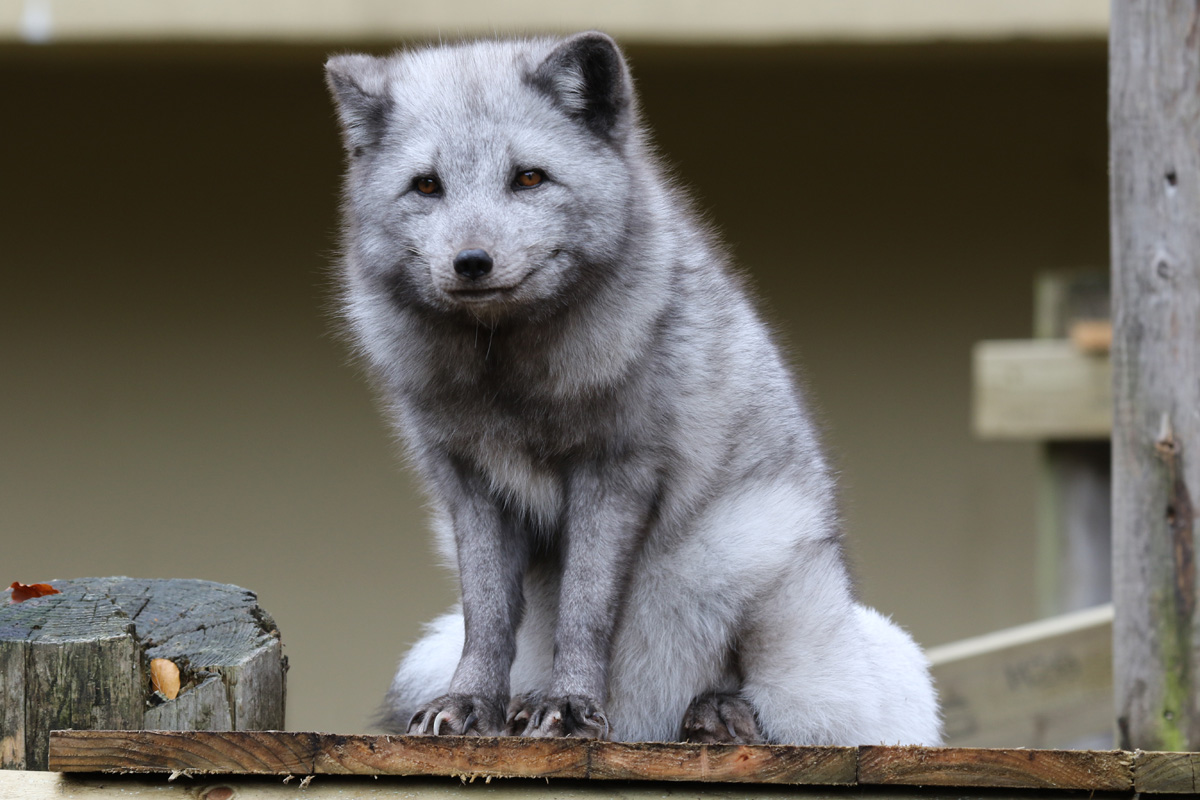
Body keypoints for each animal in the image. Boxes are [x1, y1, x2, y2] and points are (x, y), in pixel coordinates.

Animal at [324, 32, 941, 746]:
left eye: (529, 177)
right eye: (426, 186)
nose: (471, 263)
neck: (507, 383)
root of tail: (645, 718)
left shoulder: (617, 469)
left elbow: (585, 608)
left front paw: (568, 705)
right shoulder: (472, 483)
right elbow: (487, 615)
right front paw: (472, 703)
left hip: (749, 550)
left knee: (801, 710)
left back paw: (722, 713)